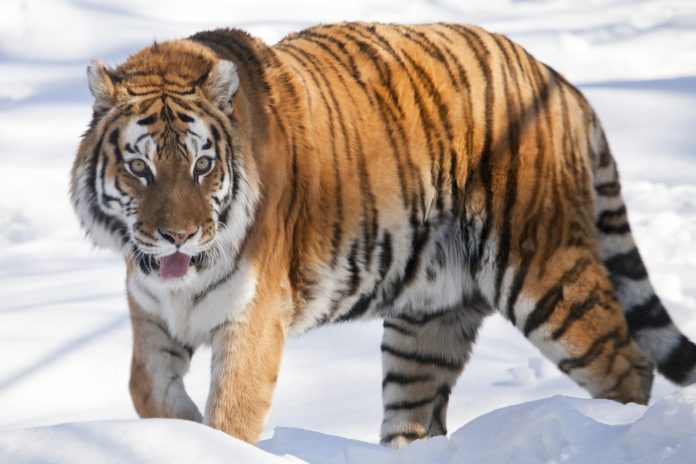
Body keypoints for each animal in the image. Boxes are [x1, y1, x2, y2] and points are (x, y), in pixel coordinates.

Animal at [71, 22, 696, 448]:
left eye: (202, 166)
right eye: (140, 168)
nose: (178, 236)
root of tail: (560, 82)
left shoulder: (254, 316)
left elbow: (233, 413)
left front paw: (210, 441)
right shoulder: (153, 312)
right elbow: (146, 390)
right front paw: (183, 433)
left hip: (547, 276)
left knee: (628, 367)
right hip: (428, 318)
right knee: (417, 414)